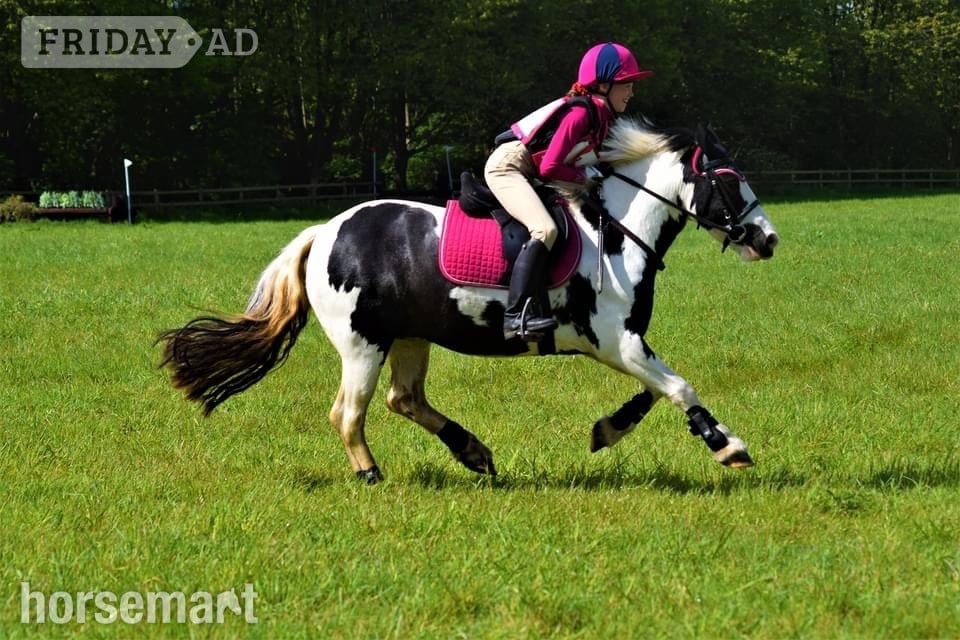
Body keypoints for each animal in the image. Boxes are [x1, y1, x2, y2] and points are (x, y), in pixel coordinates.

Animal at [158, 119, 780, 484]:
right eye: (730, 181)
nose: (768, 239)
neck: (617, 231)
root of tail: (323, 232)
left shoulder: (624, 343)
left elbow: (653, 393)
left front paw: (607, 431)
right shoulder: (615, 341)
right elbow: (679, 387)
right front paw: (728, 447)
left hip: (410, 337)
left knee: (404, 399)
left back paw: (474, 453)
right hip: (363, 344)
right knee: (349, 412)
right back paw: (372, 475)